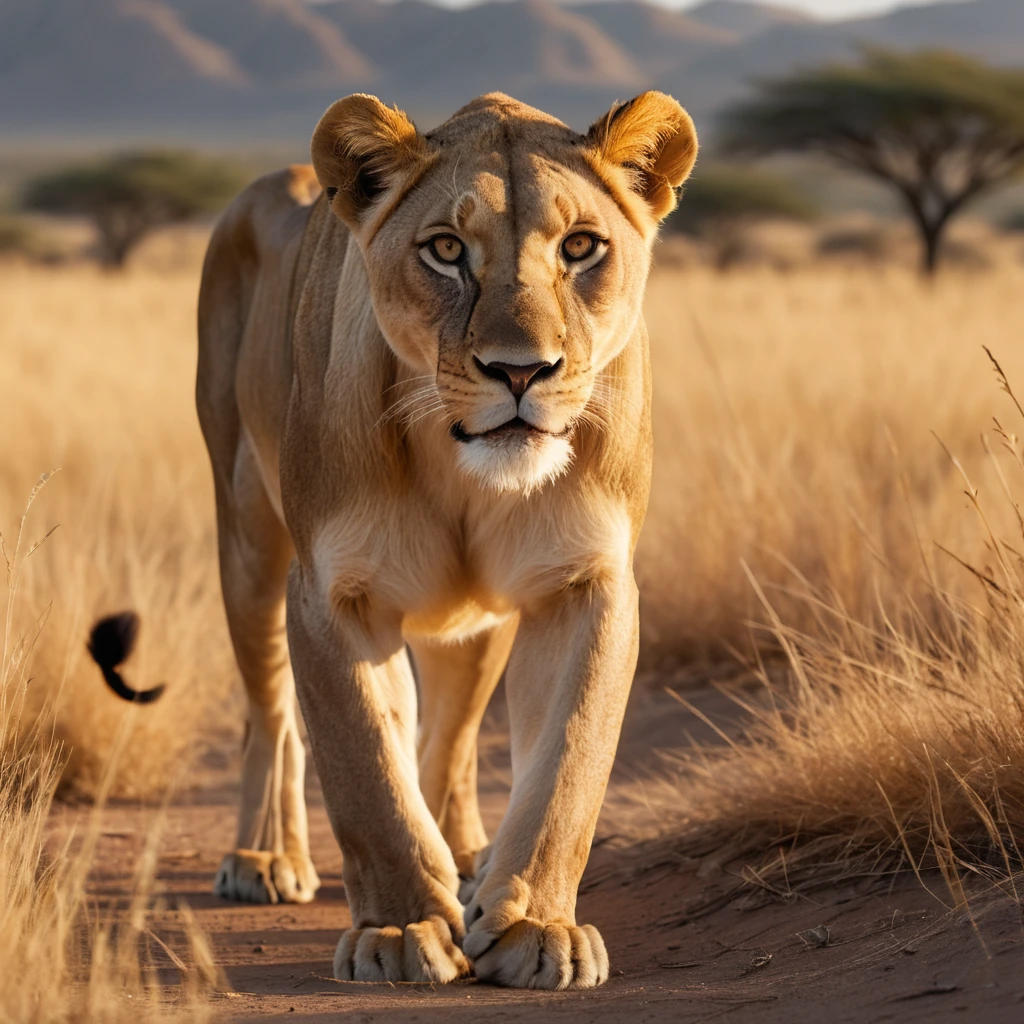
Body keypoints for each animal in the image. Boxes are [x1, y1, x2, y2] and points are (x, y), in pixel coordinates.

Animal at [190, 90, 696, 989]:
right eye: (447, 250)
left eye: (580, 247)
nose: (521, 370)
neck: (460, 468)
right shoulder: (334, 593)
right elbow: (367, 770)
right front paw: (401, 930)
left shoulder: (586, 583)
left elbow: (567, 764)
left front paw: (533, 924)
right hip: (246, 538)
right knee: (269, 711)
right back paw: (266, 857)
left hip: (472, 622)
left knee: (450, 739)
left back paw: (466, 862)